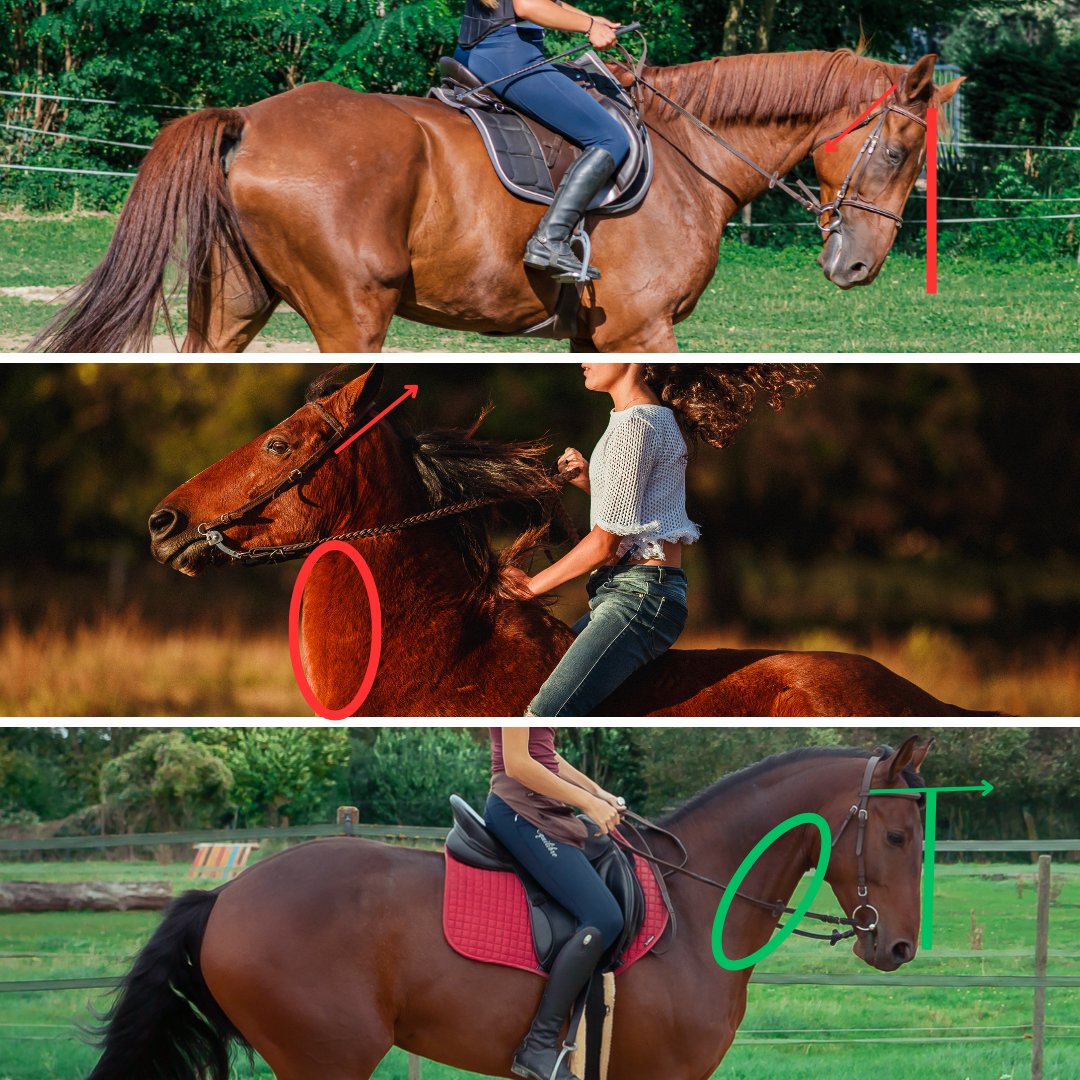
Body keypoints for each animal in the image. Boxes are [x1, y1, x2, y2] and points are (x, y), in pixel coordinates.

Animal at [35, 48, 961, 354]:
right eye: (900, 149)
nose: (858, 267)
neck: (689, 155)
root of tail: (251, 120)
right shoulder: (644, 328)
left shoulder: (598, 338)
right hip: (351, 314)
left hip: (234, 301)